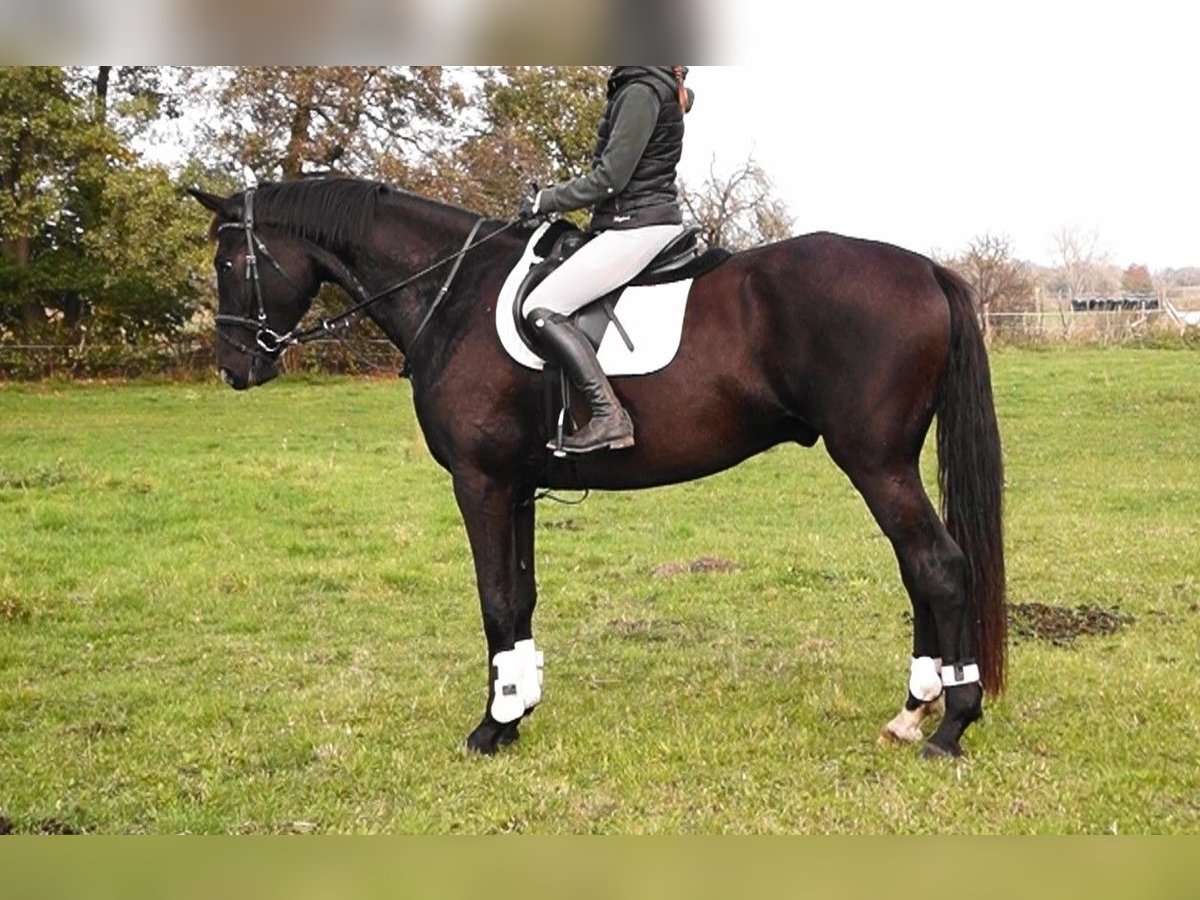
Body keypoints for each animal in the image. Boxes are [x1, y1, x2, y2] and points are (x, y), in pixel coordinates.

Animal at [189, 177, 1003, 763]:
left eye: (231, 262)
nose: (234, 367)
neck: (454, 292)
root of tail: (924, 267)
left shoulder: (480, 482)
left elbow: (493, 600)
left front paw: (490, 729)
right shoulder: (515, 486)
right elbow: (519, 598)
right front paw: (518, 710)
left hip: (874, 461)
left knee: (937, 566)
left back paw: (949, 727)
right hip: (887, 463)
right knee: (917, 567)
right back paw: (912, 713)